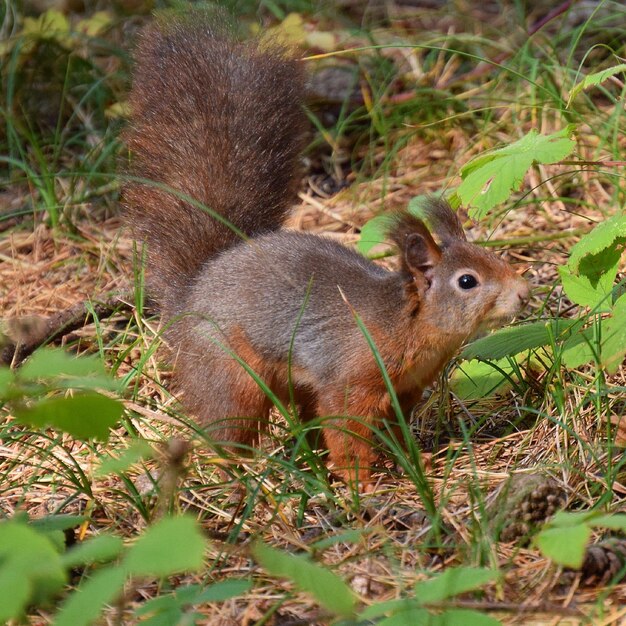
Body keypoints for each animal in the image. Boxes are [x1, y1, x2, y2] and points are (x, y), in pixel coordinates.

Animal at [122, 9, 528, 488]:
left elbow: (397, 430)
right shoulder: (350, 381)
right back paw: (241, 471)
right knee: (228, 426)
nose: (524, 293)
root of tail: (194, 288)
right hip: (231, 373)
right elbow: (346, 430)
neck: (405, 325)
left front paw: (415, 461)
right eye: (468, 282)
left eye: (495, 258)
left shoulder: (406, 390)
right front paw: (361, 482)